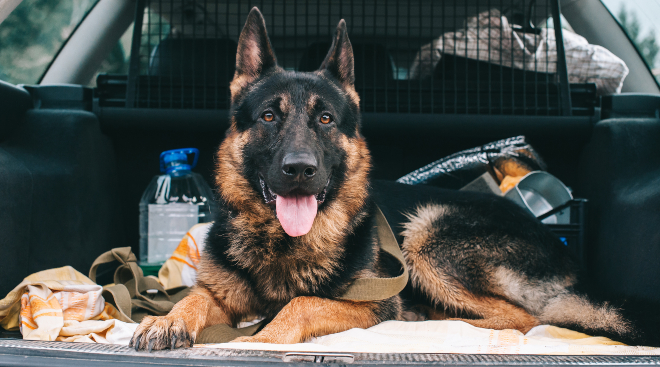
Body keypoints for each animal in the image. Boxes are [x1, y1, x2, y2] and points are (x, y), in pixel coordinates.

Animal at [131, 7, 632, 350]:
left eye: (326, 119)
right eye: (269, 116)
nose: (300, 170)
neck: (284, 244)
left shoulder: (367, 303)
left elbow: (301, 303)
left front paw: (261, 339)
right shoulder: (218, 293)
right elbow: (193, 298)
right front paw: (167, 320)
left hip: (428, 236)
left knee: (523, 316)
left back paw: (429, 320)